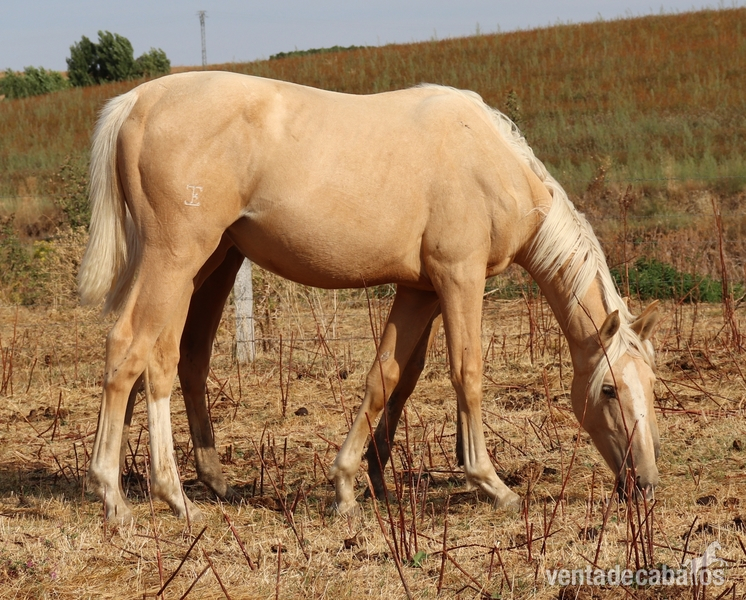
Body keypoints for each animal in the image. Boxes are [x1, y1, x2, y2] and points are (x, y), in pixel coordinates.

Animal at [78, 71, 660, 523]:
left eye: (650, 387)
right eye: (609, 390)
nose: (645, 482)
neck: (492, 163)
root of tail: (137, 101)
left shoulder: (420, 290)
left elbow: (390, 375)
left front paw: (352, 485)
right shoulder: (460, 279)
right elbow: (466, 372)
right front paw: (490, 483)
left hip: (207, 264)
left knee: (176, 357)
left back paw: (169, 482)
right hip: (175, 259)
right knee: (131, 347)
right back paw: (137, 495)